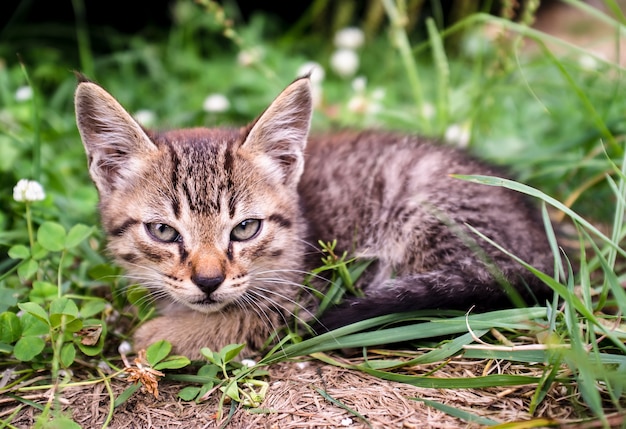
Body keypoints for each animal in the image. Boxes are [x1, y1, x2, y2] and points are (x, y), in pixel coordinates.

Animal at [74, 76, 552, 358]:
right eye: (162, 231)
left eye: (245, 228)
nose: (208, 281)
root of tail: (546, 250)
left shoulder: (308, 295)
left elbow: (244, 317)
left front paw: (161, 334)